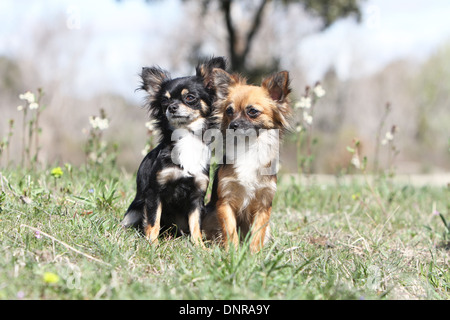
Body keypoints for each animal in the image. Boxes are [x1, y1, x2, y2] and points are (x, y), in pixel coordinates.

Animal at [121, 56, 227, 246]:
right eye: (165, 101)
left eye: (190, 97)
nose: (172, 107)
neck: (186, 137)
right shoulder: (155, 192)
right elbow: (153, 220)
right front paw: (152, 243)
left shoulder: (197, 196)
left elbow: (195, 224)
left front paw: (199, 246)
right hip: (133, 211)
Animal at [203, 68, 292, 252]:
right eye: (229, 111)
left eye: (252, 111)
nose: (233, 125)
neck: (248, 148)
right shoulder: (225, 201)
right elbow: (230, 230)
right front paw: (234, 252)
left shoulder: (264, 204)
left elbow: (257, 233)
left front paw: (253, 254)